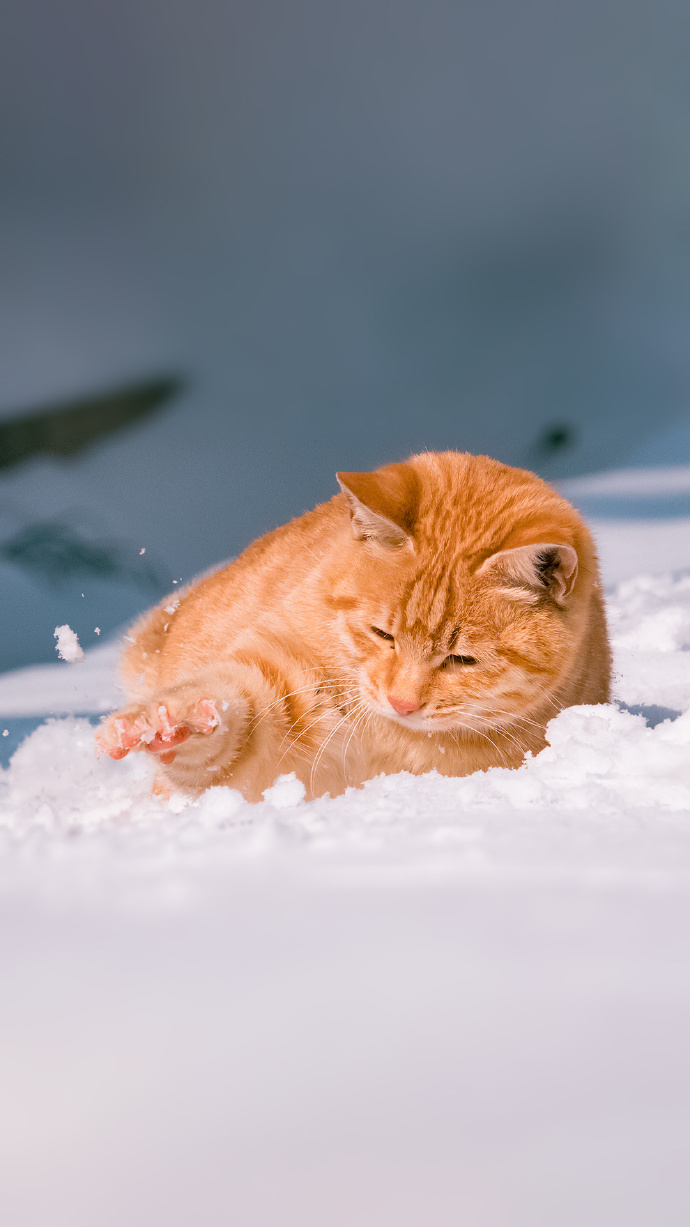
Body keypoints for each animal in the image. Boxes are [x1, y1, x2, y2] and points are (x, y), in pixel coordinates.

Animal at [95, 456, 606, 800]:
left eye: (462, 659)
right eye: (383, 635)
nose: (402, 703)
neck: (395, 739)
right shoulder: (279, 677)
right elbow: (232, 716)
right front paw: (172, 725)